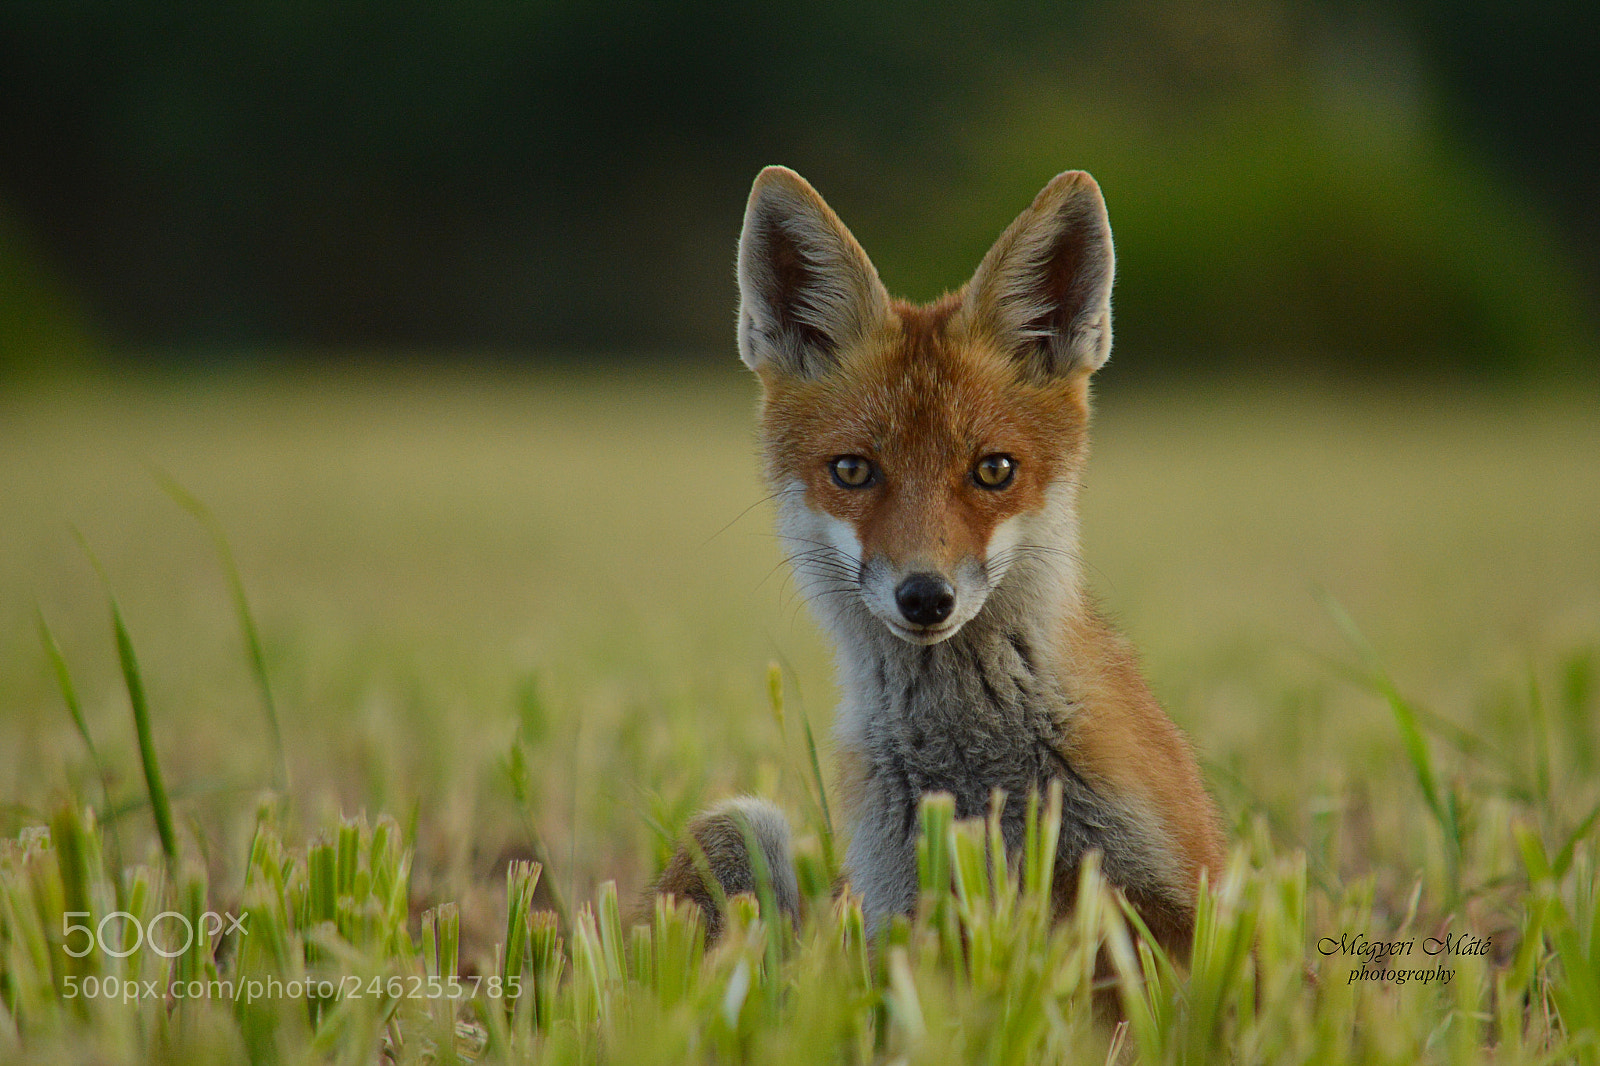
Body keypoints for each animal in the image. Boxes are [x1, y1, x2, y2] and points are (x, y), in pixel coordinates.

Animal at [653, 165, 1225, 958]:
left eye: (994, 469)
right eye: (853, 471)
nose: (926, 596)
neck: (973, 767)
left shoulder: (1178, 894)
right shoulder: (896, 906)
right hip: (736, 824)